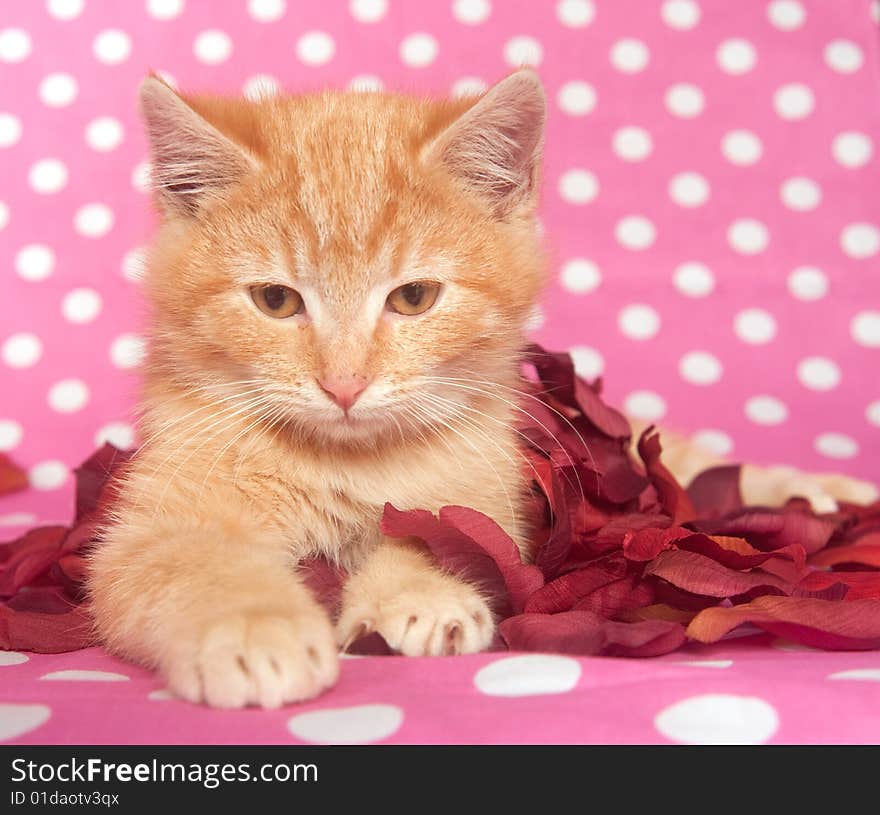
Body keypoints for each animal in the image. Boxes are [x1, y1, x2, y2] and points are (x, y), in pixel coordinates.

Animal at [86, 71, 876, 708]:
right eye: (276, 301)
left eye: (413, 298)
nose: (344, 384)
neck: (347, 464)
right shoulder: (154, 517)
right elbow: (191, 563)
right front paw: (254, 631)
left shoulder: (485, 489)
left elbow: (441, 531)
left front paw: (419, 594)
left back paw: (825, 495)